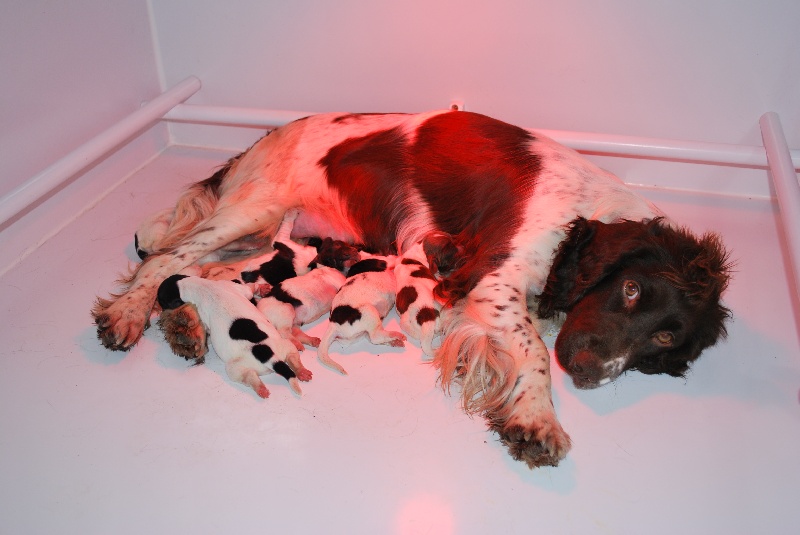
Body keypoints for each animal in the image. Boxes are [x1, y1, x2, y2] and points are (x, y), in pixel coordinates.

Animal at [156, 274, 312, 400]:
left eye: (162, 302)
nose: (160, 312)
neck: (198, 286)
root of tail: (267, 355)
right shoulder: (234, 287)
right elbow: (248, 288)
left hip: (233, 368)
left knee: (248, 376)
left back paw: (261, 388)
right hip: (283, 346)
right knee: (291, 357)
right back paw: (301, 371)